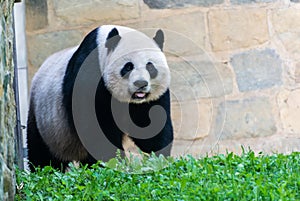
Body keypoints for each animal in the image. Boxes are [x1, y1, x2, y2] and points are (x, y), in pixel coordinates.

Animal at [27, 25, 175, 171]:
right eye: (128, 66)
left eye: (150, 66)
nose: (141, 84)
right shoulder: (88, 79)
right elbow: (95, 130)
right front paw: (112, 163)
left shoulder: (149, 100)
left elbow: (151, 126)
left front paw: (159, 158)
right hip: (47, 122)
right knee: (41, 150)